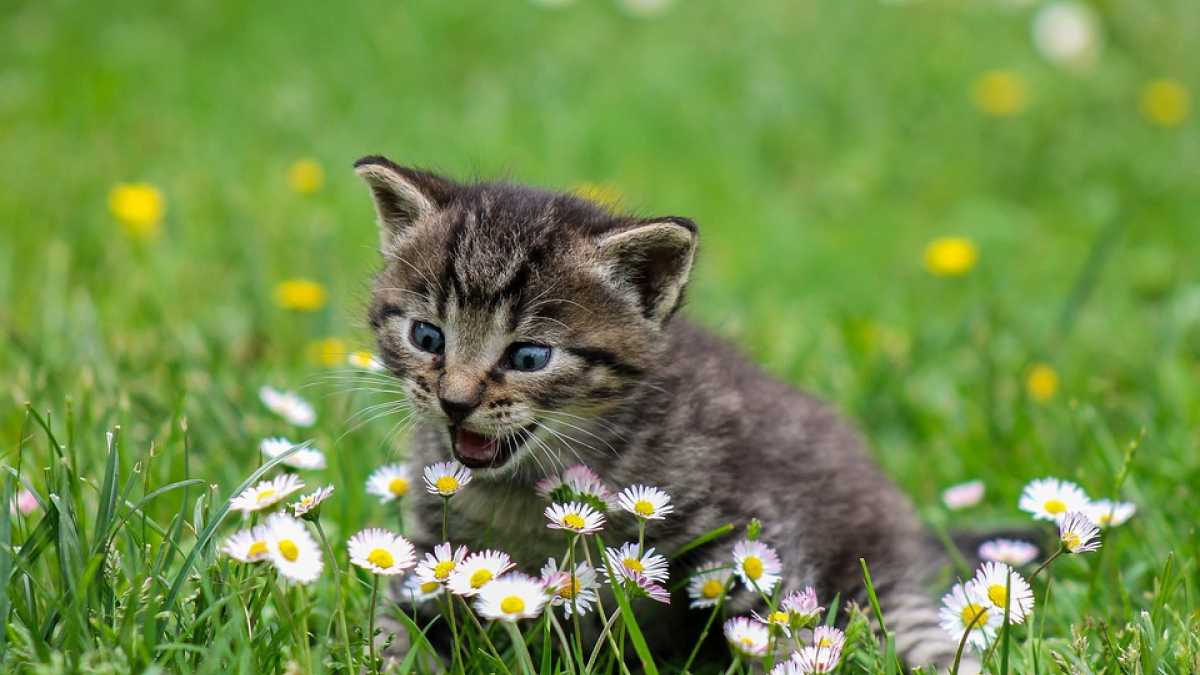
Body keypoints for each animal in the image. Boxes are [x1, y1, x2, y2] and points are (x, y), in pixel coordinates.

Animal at [350, 154, 960, 662]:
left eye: (529, 356)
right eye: (427, 337)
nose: (454, 402)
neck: (524, 489)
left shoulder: (754, 535)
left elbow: (777, 629)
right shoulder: (433, 556)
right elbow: (397, 632)